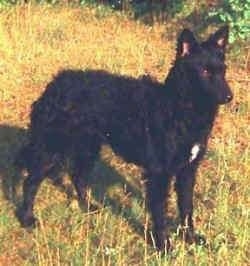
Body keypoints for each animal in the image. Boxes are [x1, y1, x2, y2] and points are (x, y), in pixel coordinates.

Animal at [16, 26, 233, 251]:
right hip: (51, 148)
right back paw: (27, 219)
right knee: (30, 182)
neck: (178, 108)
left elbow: (187, 209)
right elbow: (161, 215)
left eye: (223, 70)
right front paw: (163, 246)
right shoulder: (159, 174)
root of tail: (54, 83)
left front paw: (191, 238)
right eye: (204, 71)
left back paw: (89, 207)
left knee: (78, 177)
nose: (229, 97)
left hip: (88, 147)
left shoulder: (187, 171)